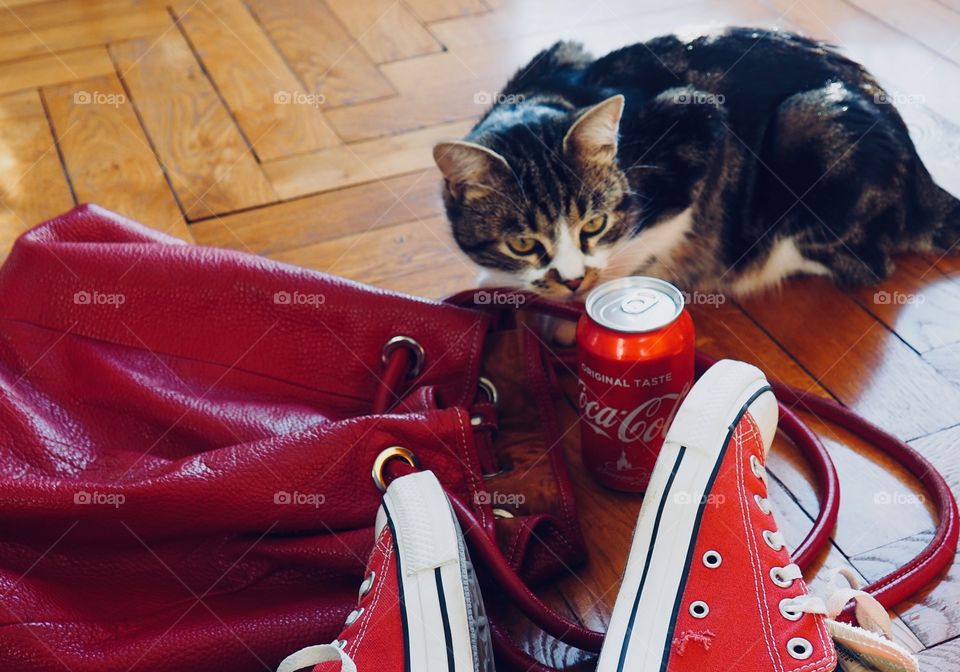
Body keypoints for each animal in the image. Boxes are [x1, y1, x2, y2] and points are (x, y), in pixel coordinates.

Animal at [436, 28, 960, 300]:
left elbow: (645, 242)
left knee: (859, 262)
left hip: (812, 123)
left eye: (595, 224)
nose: (571, 279)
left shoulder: (699, 123)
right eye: (523, 243)